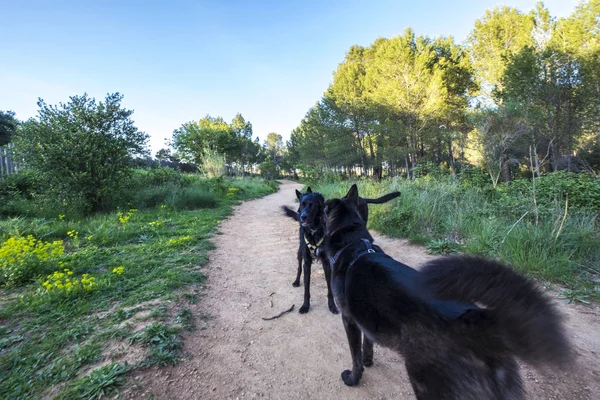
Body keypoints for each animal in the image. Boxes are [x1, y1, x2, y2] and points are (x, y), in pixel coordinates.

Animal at [324, 185, 572, 400]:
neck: (354, 242)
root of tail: (479, 320)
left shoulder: (349, 320)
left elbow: (355, 356)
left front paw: (353, 378)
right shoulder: (364, 320)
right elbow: (367, 345)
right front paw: (369, 361)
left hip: (430, 385)